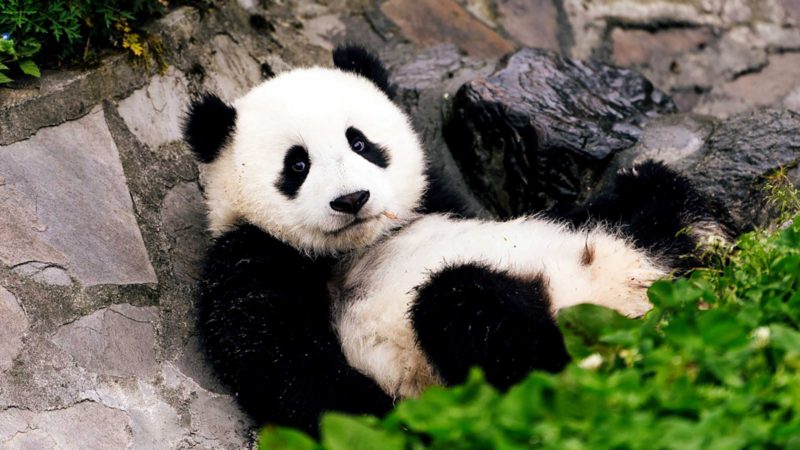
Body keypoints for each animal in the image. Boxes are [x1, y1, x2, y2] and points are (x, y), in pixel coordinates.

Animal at [183, 44, 720, 432]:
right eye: (297, 165)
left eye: (360, 142)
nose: (352, 199)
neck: (362, 243)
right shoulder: (251, 258)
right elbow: (286, 366)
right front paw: (385, 420)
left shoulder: (437, 197)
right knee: (464, 305)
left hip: (633, 252)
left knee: (653, 202)